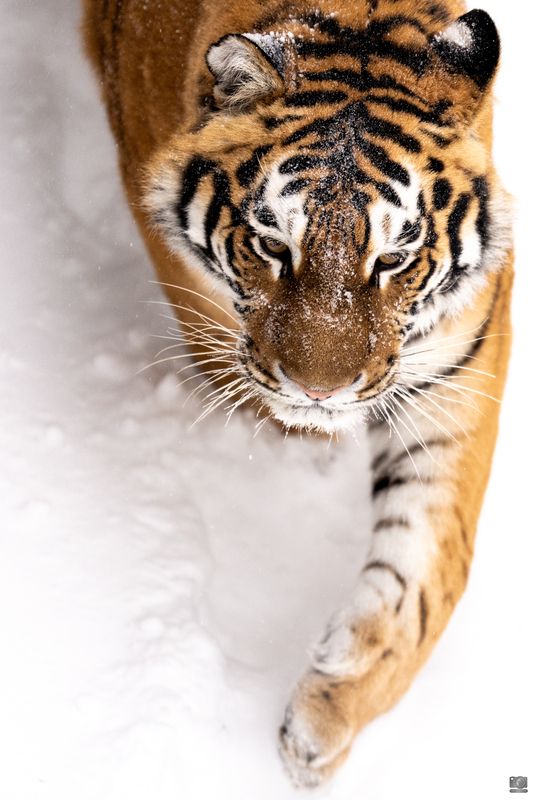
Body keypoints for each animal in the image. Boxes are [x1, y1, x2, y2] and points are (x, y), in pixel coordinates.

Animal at [83, 0, 513, 787]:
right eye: (271, 245)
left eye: (394, 258)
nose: (319, 391)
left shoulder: (457, 366)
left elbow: (431, 569)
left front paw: (329, 710)